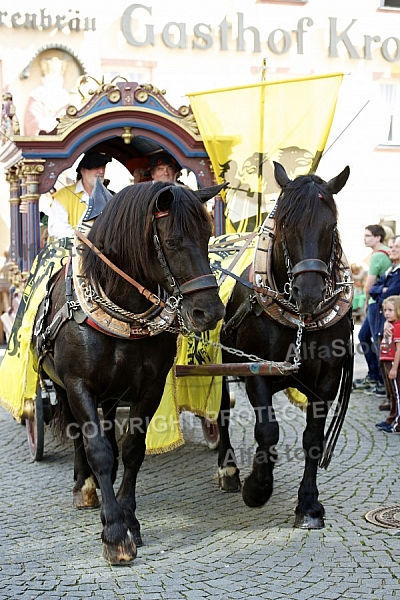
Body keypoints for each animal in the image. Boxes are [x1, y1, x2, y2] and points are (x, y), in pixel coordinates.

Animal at [33, 182, 225, 564]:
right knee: (78, 434)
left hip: (110, 393)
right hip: (62, 387)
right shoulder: (78, 385)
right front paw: (114, 533)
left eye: (208, 235)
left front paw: (130, 519)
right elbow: (98, 450)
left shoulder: (150, 387)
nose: (210, 312)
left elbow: (132, 449)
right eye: (172, 242)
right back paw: (85, 484)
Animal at [216, 161, 354, 528]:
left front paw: (308, 504)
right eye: (284, 225)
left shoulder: (326, 381)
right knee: (220, 410)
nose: (309, 294)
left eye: (331, 225)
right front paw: (257, 487)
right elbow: (267, 430)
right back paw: (228, 469)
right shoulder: (255, 371)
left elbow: (313, 440)